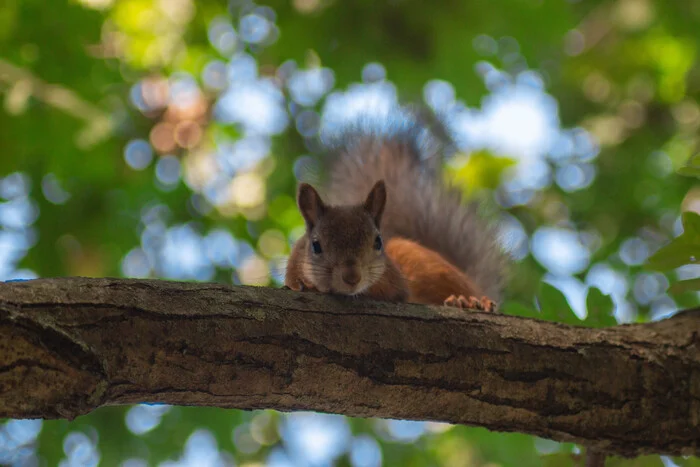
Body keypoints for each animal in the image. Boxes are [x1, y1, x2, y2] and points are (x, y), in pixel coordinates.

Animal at [284, 119, 508, 312]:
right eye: (316, 246)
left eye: (378, 242)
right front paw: (308, 285)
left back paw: (468, 301)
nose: (352, 277)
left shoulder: (393, 281)